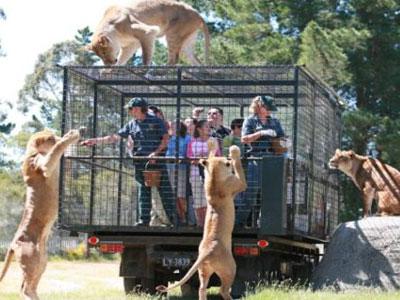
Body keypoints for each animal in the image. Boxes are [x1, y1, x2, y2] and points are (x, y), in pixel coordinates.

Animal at [0, 129, 80, 300]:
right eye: (51, 138)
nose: (59, 135)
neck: (33, 151)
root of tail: (13, 243)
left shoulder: (62, 169)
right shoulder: (43, 165)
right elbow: (56, 149)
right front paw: (70, 136)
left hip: (41, 262)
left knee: (31, 287)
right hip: (30, 259)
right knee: (24, 288)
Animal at [156, 141, 247, 300]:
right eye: (226, 162)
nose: (228, 159)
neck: (215, 179)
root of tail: (206, 252)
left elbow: (207, 159)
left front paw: (211, 145)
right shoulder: (237, 184)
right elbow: (239, 169)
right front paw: (234, 151)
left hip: (204, 270)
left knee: (202, 288)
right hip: (230, 267)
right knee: (223, 290)